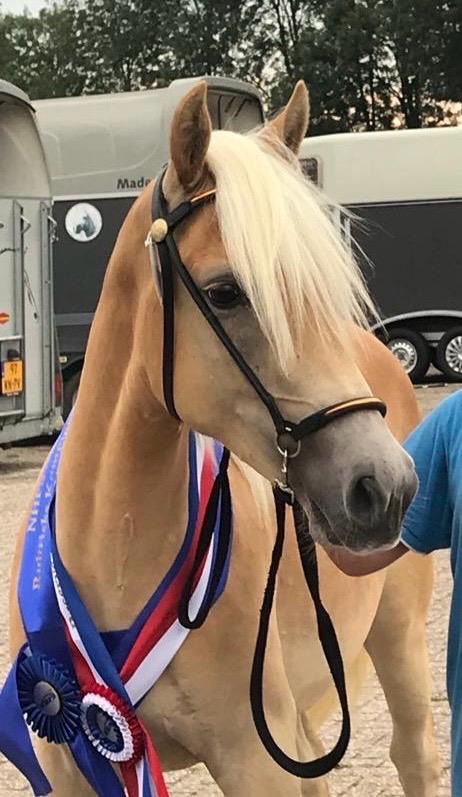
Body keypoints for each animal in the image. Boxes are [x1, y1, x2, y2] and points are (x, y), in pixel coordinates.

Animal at [8, 80, 440, 796]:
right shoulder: (72, 763)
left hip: (397, 641)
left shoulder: (254, 757)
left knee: (415, 756)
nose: (385, 486)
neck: (115, 558)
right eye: (226, 292)